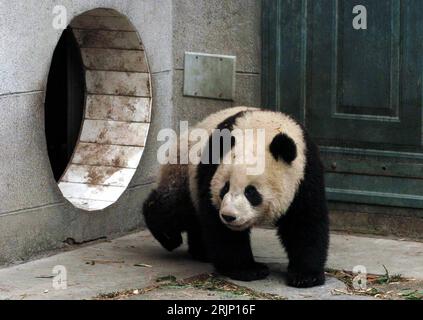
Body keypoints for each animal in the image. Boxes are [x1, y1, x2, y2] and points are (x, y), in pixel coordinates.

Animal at [144, 107, 330, 288]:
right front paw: (248, 270)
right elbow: (220, 227)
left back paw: (201, 252)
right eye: (225, 187)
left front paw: (305, 276)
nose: (229, 216)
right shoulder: (211, 168)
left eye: (251, 192)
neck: (261, 131)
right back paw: (169, 236)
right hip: (184, 170)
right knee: (175, 208)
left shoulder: (305, 173)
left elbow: (304, 222)